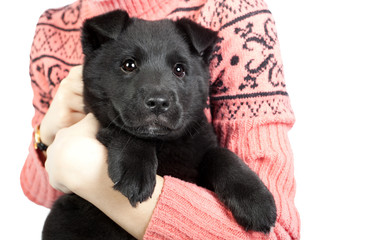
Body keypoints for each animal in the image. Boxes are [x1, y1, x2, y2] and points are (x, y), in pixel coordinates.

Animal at [42, 10, 276, 239]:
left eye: (179, 69)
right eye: (128, 65)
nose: (158, 103)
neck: (163, 143)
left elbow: (222, 154)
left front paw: (257, 201)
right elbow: (129, 133)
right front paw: (135, 172)